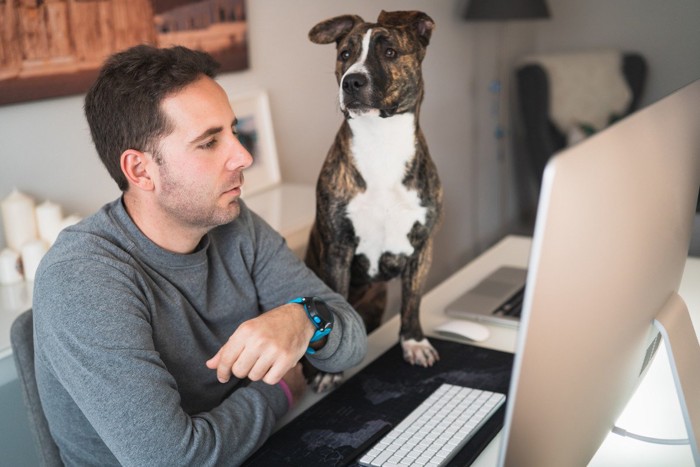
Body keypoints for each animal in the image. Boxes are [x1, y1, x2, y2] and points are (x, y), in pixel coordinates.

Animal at [304, 11, 442, 392]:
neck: (381, 143)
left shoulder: (422, 246)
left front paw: (413, 341)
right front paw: (329, 370)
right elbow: (335, 304)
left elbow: (412, 301)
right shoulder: (337, 249)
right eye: (345, 54)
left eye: (390, 52)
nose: (352, 81)